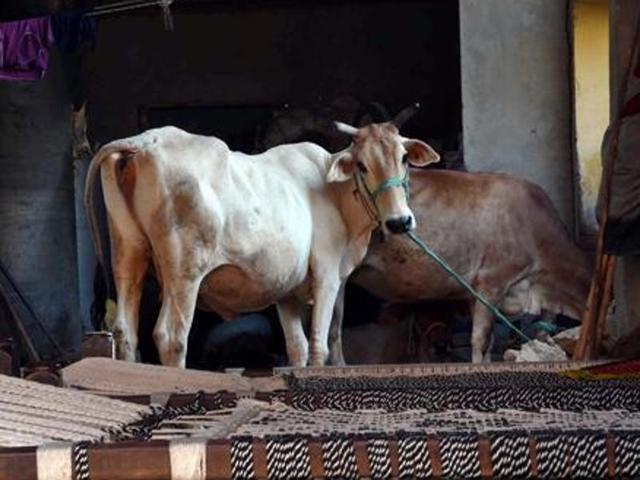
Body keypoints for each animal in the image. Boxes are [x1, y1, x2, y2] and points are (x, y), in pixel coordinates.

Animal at [84, 118, 440, 368]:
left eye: (404, 158)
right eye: (363, 165)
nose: (400, 221)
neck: (334, 192)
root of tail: (146, 140)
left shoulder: (287, 292)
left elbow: (297, 348)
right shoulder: (327, 275)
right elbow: (319, 345)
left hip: (128, 254)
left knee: (125, 332)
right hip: (184, 271)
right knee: (171, 336)